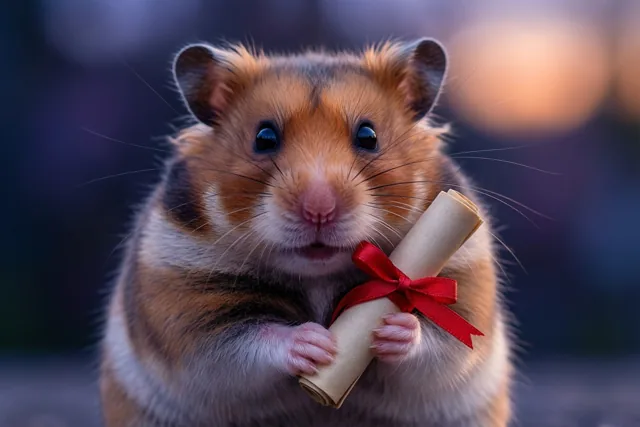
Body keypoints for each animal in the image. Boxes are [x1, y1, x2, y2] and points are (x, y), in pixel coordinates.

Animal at [98, 39, 513, 427]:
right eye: (264, 137)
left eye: (368, 136)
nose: (319, 210)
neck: (318, 276)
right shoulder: (186, 308)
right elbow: (242, 344)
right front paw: (313, 342)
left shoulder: (466, 285)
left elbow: (439, 344)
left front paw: (394, 328)